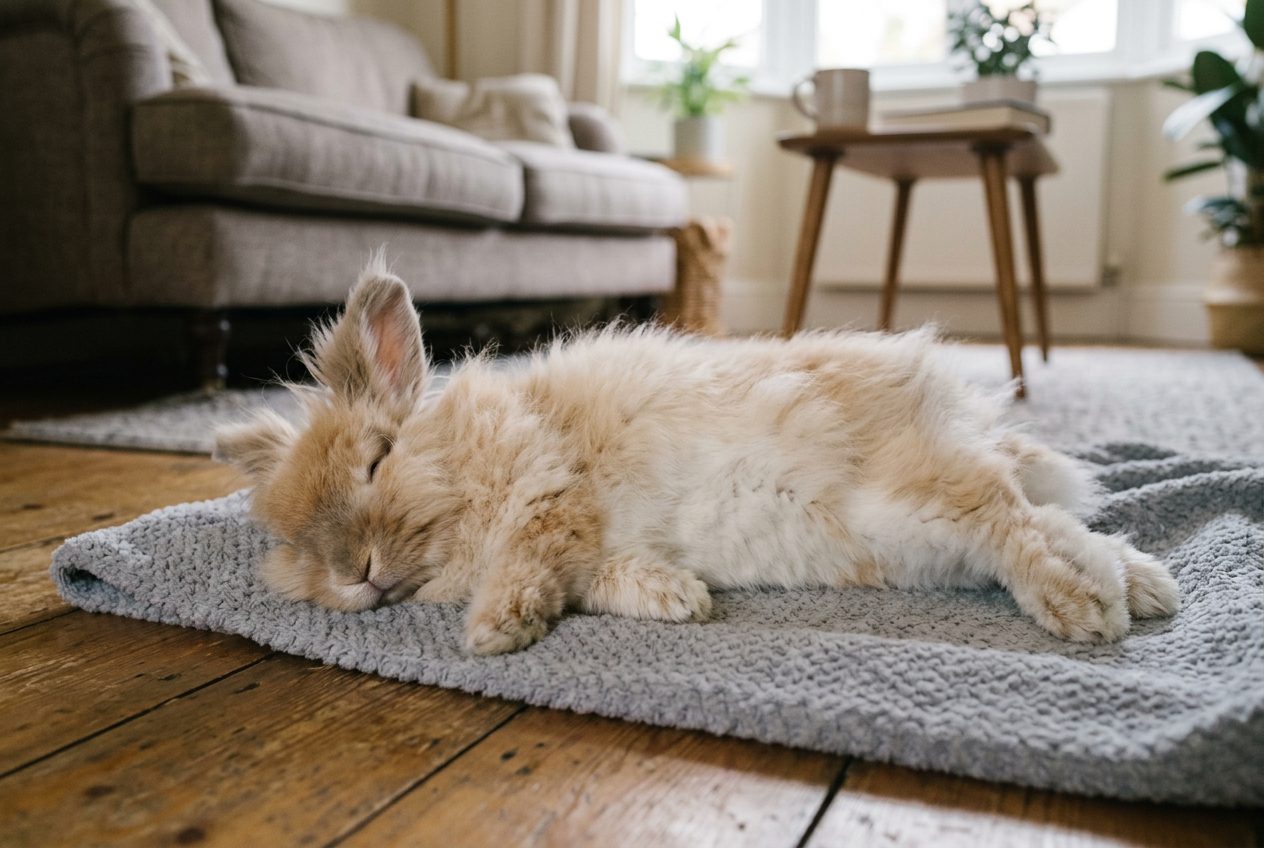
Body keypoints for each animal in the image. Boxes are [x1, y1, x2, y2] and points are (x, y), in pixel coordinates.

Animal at [214, 261, 1179, 655]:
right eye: (293, 547)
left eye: (378, 461)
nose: (355, 574)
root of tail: (949, 407)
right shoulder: (589, 547)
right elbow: (597, 580)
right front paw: (680, 600)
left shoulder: (550, 493)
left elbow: (532, 558)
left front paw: (493, 632)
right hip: (914, 536)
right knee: (1052, 520)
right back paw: (1146, 589)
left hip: (919, 498)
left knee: (1015, 523)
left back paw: (1086, 610)